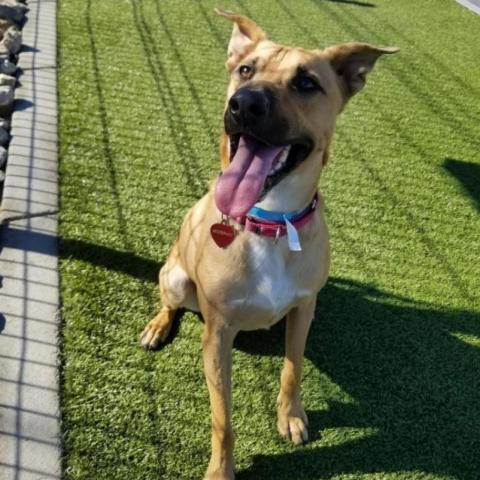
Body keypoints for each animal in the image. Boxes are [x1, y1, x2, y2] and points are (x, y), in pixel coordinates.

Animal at [139, 11, 398, 480]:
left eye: (307, 83)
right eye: (245, 70)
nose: (245, 104)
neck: (270, 223)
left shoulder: (304, 307)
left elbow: (293, 369)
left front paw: (291, 416)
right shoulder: (217, 335)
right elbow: (222, 418)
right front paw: (221, 470)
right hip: (176, 277)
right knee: (170, 301)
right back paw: (158, 326)